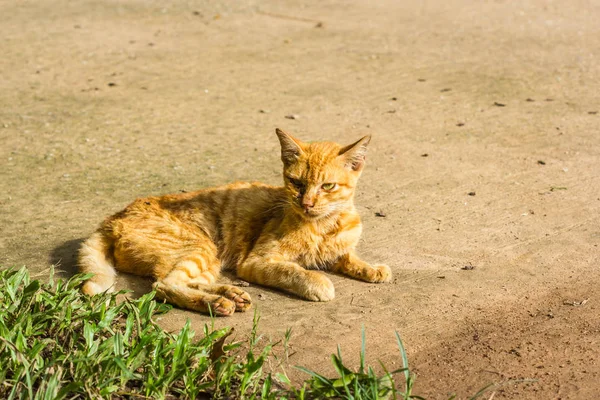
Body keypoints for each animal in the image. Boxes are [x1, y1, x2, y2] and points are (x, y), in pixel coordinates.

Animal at [77, 130, 392, 318]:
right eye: (296, 183)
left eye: (327, 186)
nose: (306, 204)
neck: (324, 225)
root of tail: (112, 219)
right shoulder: (257, 262)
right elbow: (295, 271)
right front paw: (318, 283)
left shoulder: (338, 250)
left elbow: (349, 257)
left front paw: (373, 269)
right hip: (201, 249)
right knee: (164, 285)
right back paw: (218, 303)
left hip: (209, 258)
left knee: (182, 282)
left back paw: (231, 295)